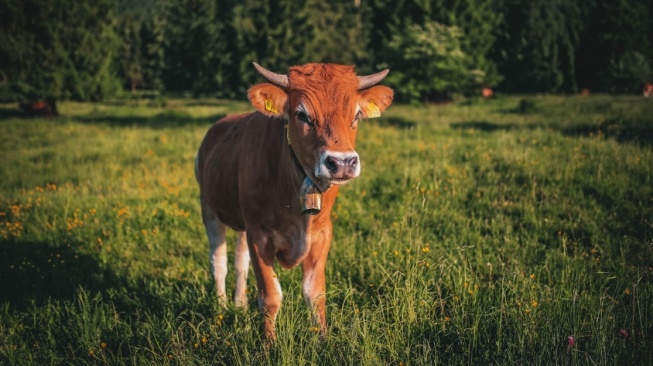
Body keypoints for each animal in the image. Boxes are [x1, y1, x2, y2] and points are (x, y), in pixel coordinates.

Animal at [195, 63, 392, 340]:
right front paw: (269, 344)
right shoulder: (260, 236)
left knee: (240, 262)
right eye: (302, 115)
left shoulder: (321, 235)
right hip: (209, 208)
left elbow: (315, 293)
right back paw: (222, 307)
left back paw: (239, 304)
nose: (342, 163)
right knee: (219, 261)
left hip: (242, 223)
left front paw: (323, 340)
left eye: (356, 116)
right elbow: (270, 296)